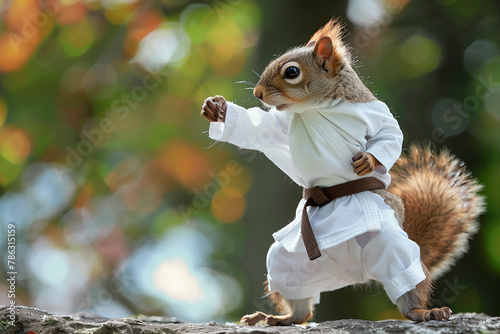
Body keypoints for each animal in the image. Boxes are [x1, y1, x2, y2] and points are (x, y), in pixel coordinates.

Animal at [198, 19, 484, 324]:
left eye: (291, 72)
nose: (257, 93)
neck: (320, 105)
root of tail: (362, 272)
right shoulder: (280, 123)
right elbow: (257, 128)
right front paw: (218, 111)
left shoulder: (378, 115)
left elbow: (391, 134)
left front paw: (369, 160)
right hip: (290, 261)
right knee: (300, 303)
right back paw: (282, 317)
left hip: (390, 244)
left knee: (405, 271)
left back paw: (422, 311)